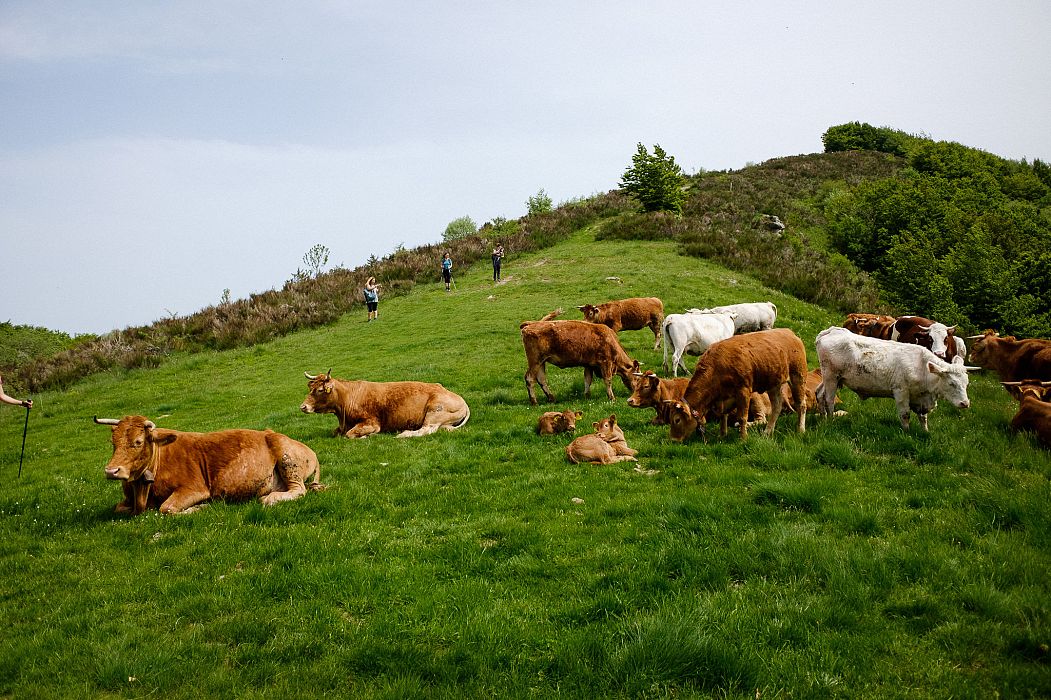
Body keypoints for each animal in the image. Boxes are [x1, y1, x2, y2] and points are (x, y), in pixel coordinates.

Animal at [92, 414, 321, 512]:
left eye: (138, 442)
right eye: (112, 442)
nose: (112, 471)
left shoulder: (194, 489)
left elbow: (166, 508)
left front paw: (199, 508)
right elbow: (119, 508)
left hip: (286, 459)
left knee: (298, 490)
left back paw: (270, 498)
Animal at [302, 369, 470, 437]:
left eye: (320, 390)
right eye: (310, 387)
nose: (303, 406)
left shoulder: (372, 423)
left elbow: (350, 434)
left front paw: (366, 436)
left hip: (434, 412)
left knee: (426, 430)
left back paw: (404, 434)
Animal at [668, 323, 807, 439]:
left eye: (677, 420)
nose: (673, 440)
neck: (717, 366)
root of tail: (789, 333)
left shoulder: (743, 391)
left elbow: (742, 417)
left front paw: (743, 438)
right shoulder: (724, 397)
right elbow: (723, 415)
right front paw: (722, 434)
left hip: (798, 377)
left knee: (801, 405)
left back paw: (800, 430)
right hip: (774, 384)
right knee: (777, 407)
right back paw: (767, 432)